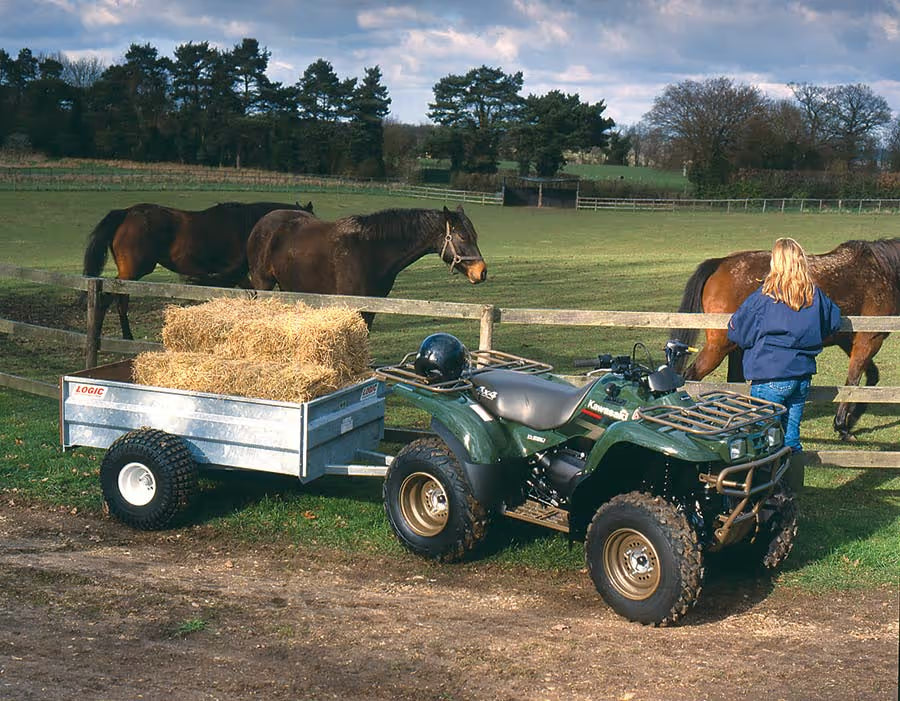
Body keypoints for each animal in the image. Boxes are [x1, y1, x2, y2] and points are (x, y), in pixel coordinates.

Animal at [247, 205, 488, 327]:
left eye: (474, 235)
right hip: (263, 284)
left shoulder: (371, 307)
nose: (481, 272)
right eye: (462, 236)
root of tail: (262, 223)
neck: (370, 250)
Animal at [672, 238, 900, 440]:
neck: (882, 270)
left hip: (736, 348)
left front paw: (851, 419)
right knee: (689, 378)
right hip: (718, 347)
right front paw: (843, 425)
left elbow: (870, 377)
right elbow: (853, 382)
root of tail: (721, 263)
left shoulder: (850, 340)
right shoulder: (869, 339)